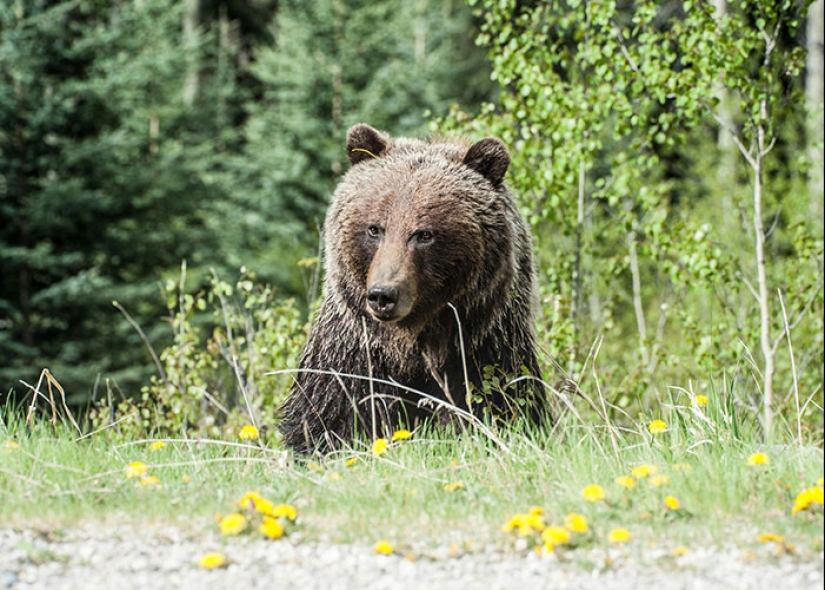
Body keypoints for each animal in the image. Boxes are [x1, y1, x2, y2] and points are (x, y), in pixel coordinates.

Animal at [280, 121, 552, 454]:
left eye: (424, 234)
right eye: (374, 229)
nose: (383, 295)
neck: (414, 344)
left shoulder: (485, 350)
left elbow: (502, 407)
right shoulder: (353, 356)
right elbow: (328, 419)